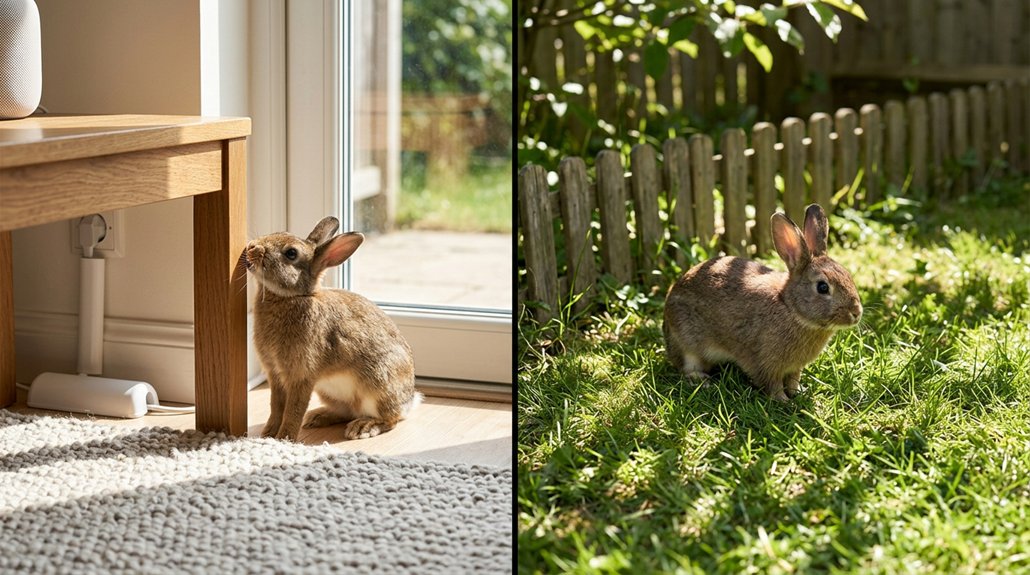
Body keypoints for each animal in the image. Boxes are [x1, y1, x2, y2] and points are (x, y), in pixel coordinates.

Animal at [241, 216, 422, 441]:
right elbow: (276, 406)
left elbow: (293, 410)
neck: (292, 297)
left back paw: (363, 427)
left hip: (378, 384)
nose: (252, 246)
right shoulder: (275, 374)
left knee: (391, 419)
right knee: (347, 412)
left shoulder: (301, 376)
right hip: (329, 392)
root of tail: (409, 401)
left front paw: (284, 438)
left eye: (291, 253)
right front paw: (268, 435)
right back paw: (318, 417)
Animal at [663, 204, 862, 401]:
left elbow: (793, 379)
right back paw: (703, 381)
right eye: (822, 287)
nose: (856, 313)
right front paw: (784, 401)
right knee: (687, 367)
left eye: (848, 276)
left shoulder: (794, 368)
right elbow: (772, 384)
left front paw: (799, 392)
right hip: (687, 343)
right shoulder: (765, 363)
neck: (791, 309)